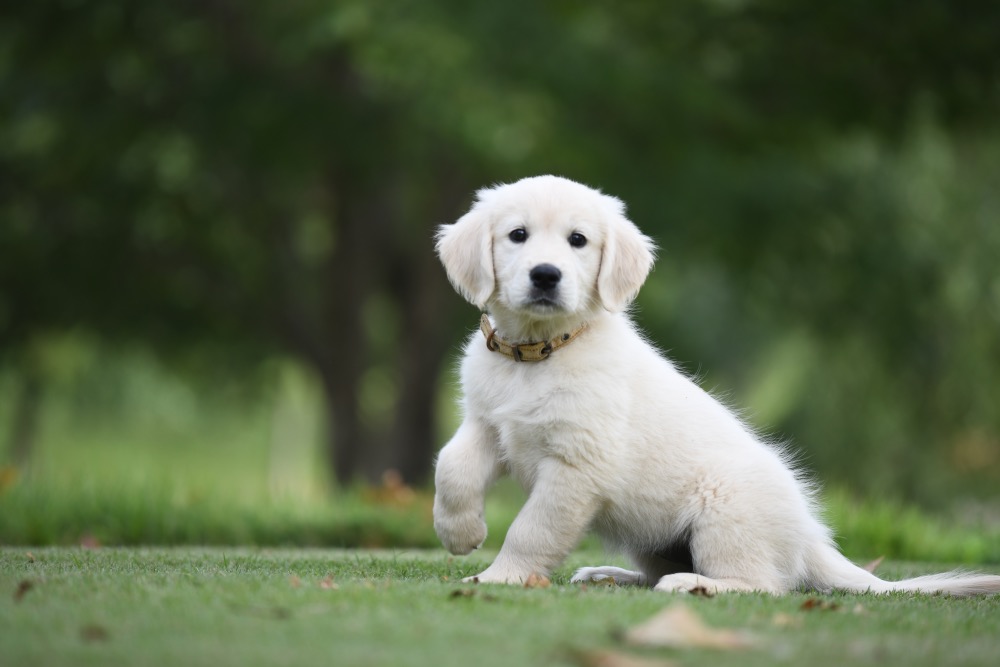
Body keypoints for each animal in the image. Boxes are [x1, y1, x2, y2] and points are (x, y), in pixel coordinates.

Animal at [434, 176, 1000, 596]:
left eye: (578, 240)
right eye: (517, 235)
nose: (546, 275)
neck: (537, 354)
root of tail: (808, 537)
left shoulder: (576, 466)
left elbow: (533, 528)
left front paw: (500, 575)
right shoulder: (486, 424)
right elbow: (451, 466)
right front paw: (459, 533)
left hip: (725, 514)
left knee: (765, 584)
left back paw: (695, 585)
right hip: (653, 535)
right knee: (666, 570)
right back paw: (610, 574)